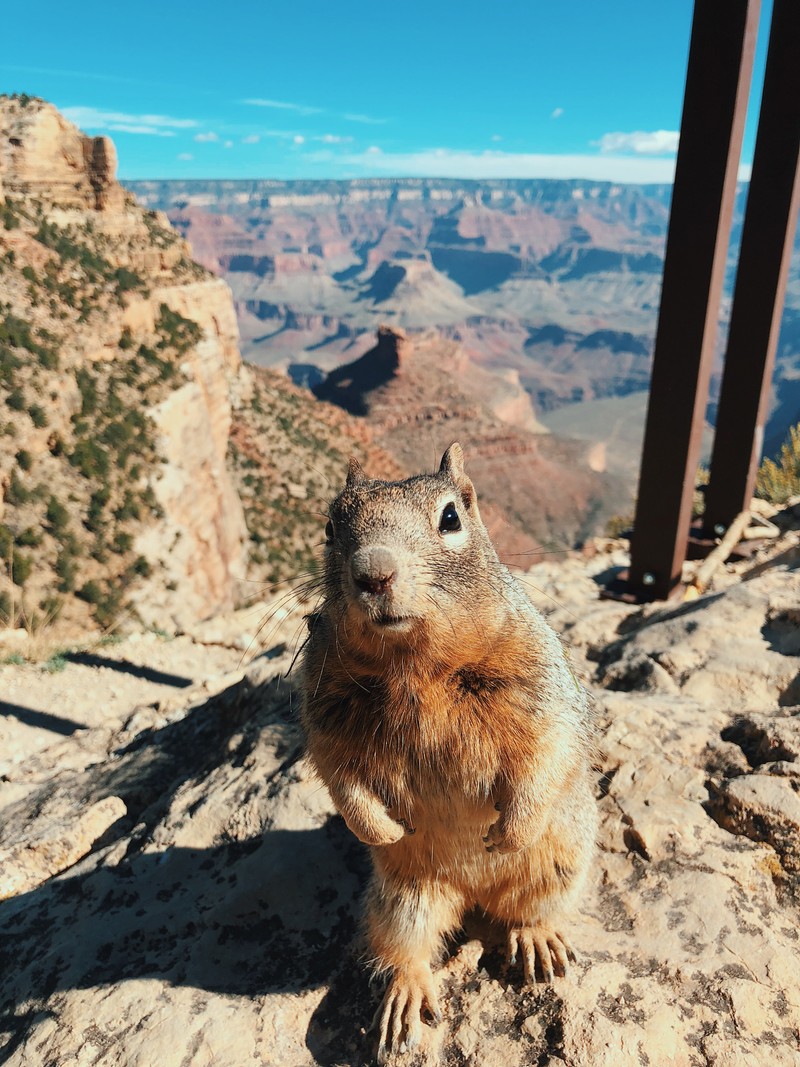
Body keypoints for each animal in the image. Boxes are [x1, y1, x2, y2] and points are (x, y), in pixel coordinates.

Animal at [302, 441, 597, 1058]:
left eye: (451, 518)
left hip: (561, 865)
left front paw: (509, 829)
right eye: (330, 526)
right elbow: (338, 774)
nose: (373, 573)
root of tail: (473, 894)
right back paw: (405, 998)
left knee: (528, 912)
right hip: (401, 899)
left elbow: (548, 747)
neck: (416, 666)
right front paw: (380, 828)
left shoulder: (540, 680)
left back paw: (538, 941)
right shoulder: (323, 708)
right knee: (404, 948)